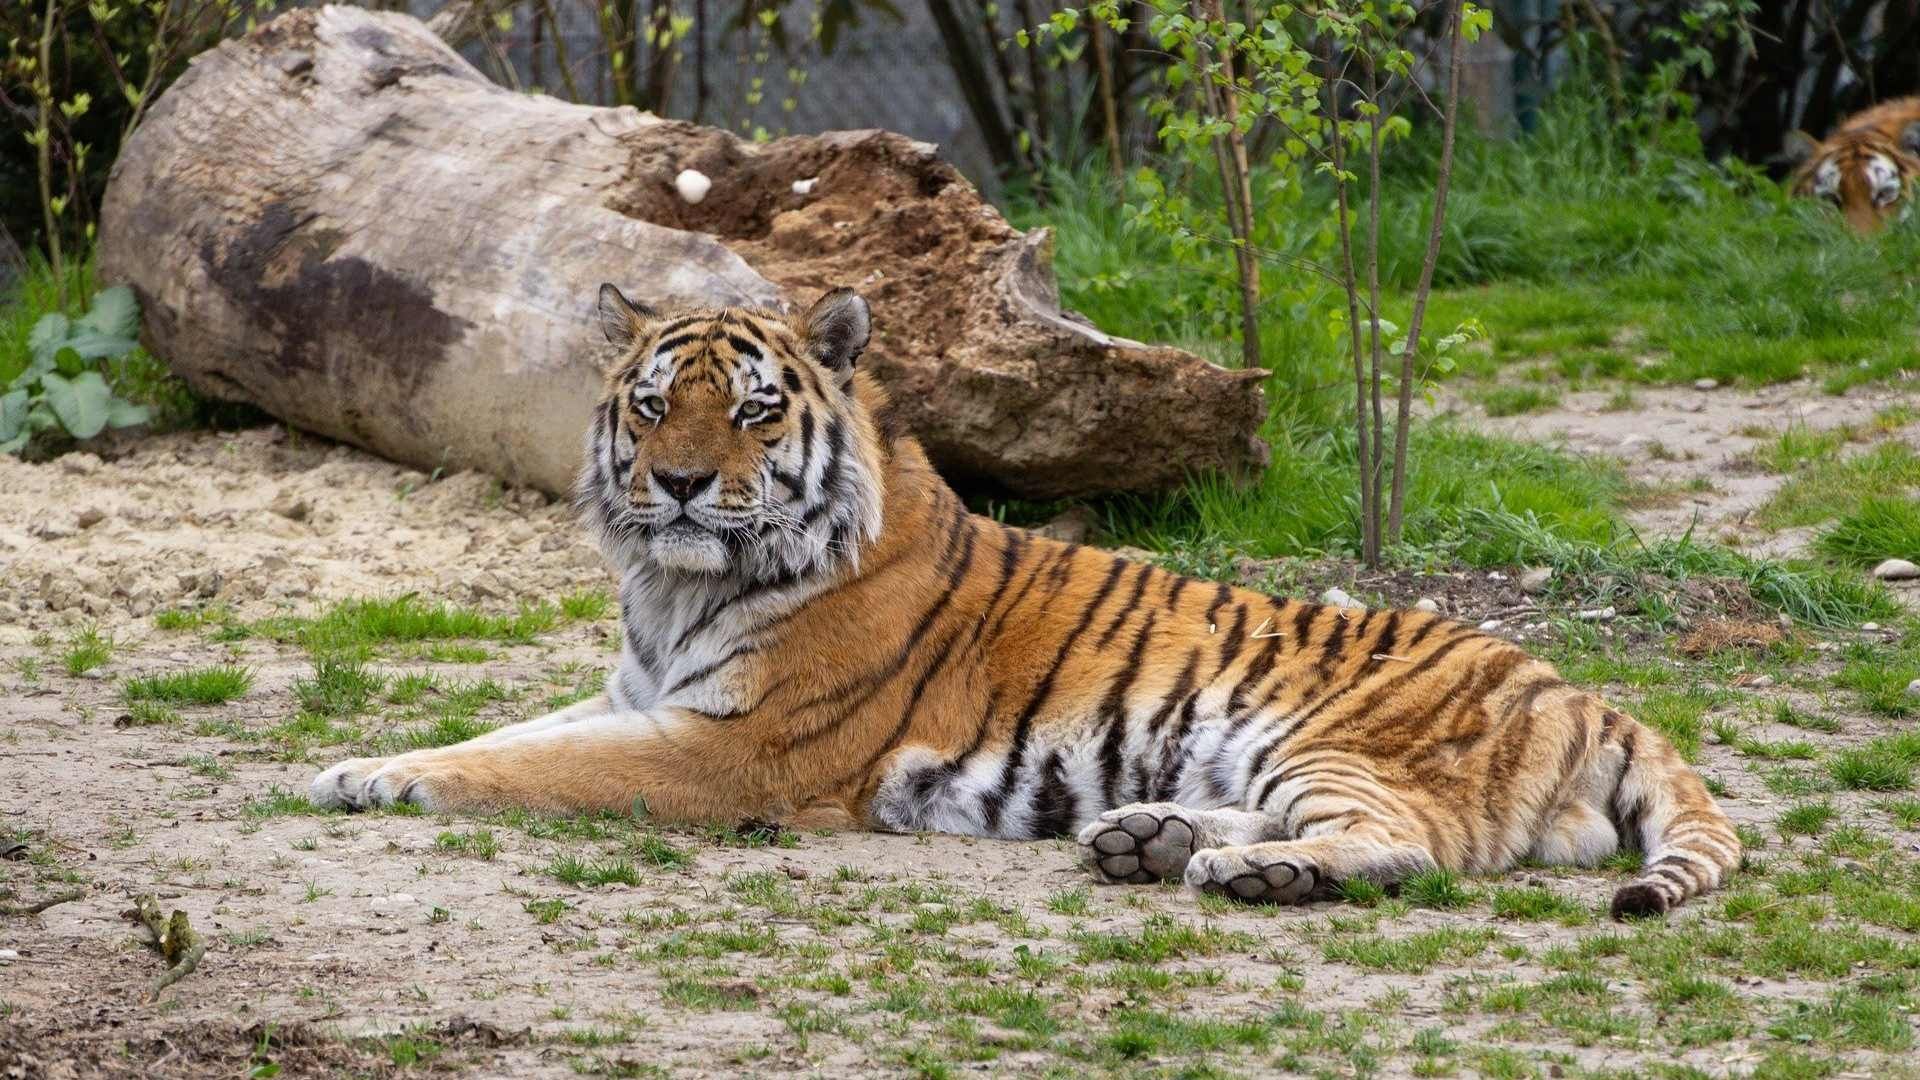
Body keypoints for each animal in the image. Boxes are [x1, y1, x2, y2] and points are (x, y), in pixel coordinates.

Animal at [309, 285, 1740, 918]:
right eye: (656, 404)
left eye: (756, 411)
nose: (674, 483)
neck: (671, 588)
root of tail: (1587, 690)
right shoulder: (637, 693)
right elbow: (508, 734)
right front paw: (356, 764)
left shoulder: (732, 753)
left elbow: (535, 770)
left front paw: (388, 781)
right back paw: (1147, 838)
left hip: (1340, 740)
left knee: (1414, 848)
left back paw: (1245, 870)